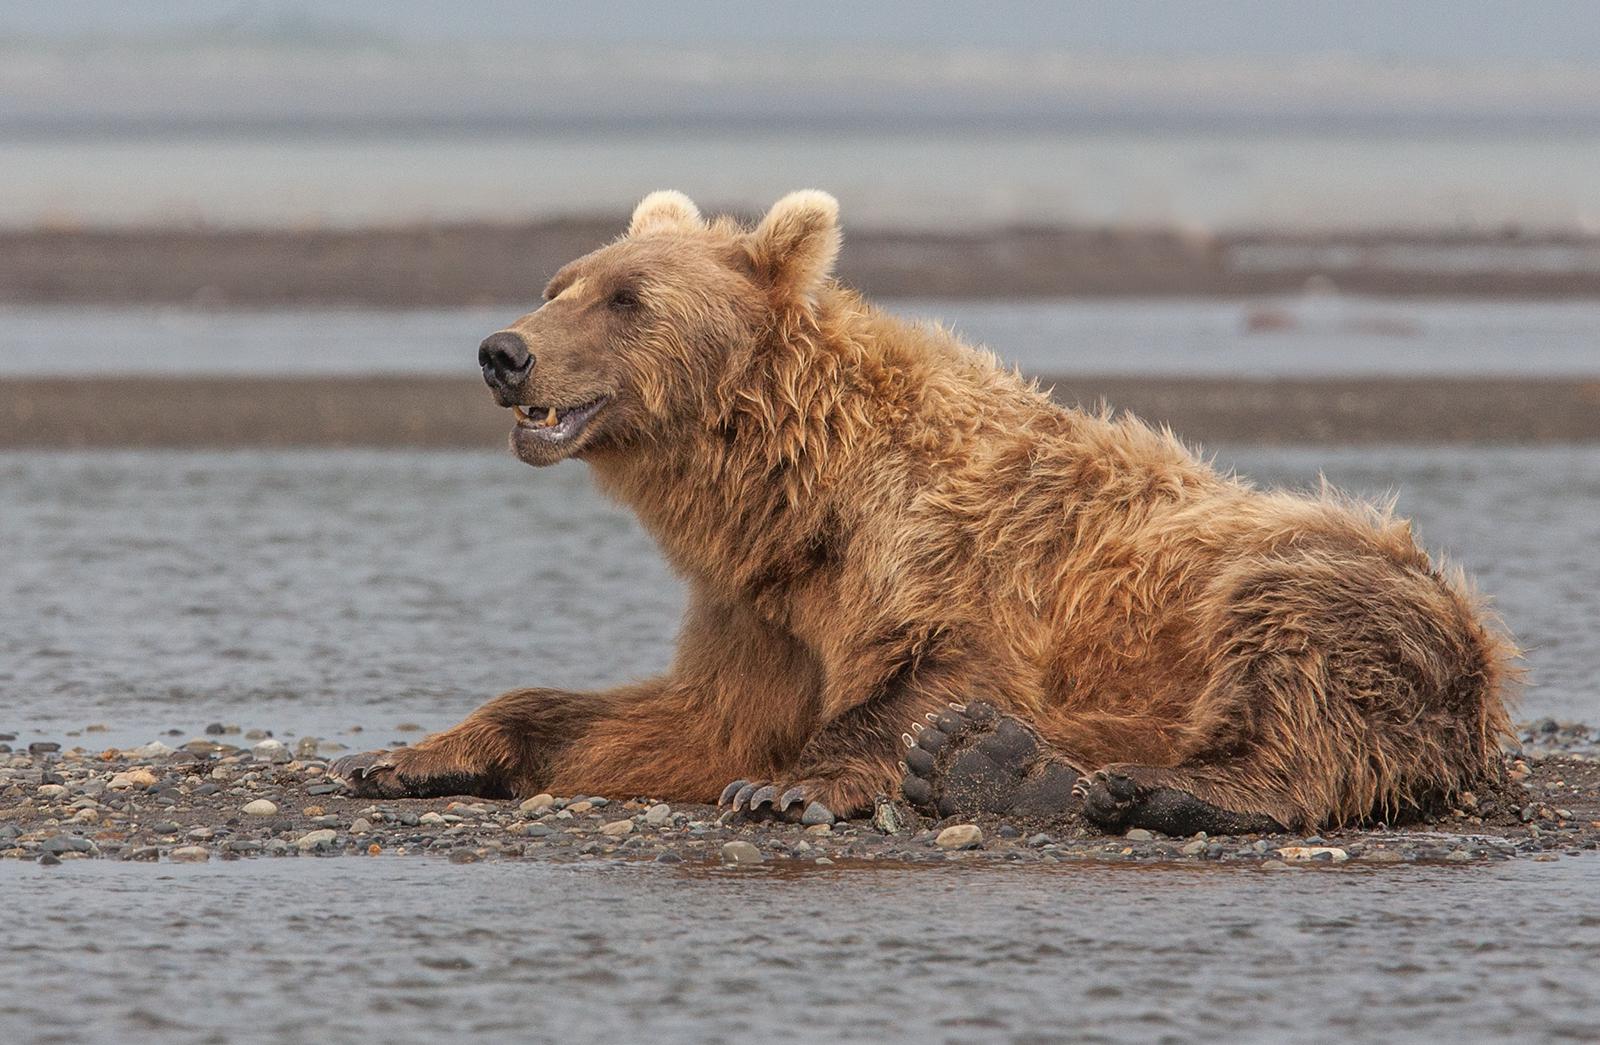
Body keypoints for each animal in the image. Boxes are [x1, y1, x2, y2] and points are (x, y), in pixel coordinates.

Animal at [332, 189, 1516, 835]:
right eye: (560, 280)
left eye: (628, 299)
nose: (503, 350)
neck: (794, 497)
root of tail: (1482, 646)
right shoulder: (761, 607)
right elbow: (686, 716)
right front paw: (405, 752)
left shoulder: (959, 558)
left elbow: (919, 680)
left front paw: (787, 790)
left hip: (1331, 577)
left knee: (1298, 672)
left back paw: (1132, 783)